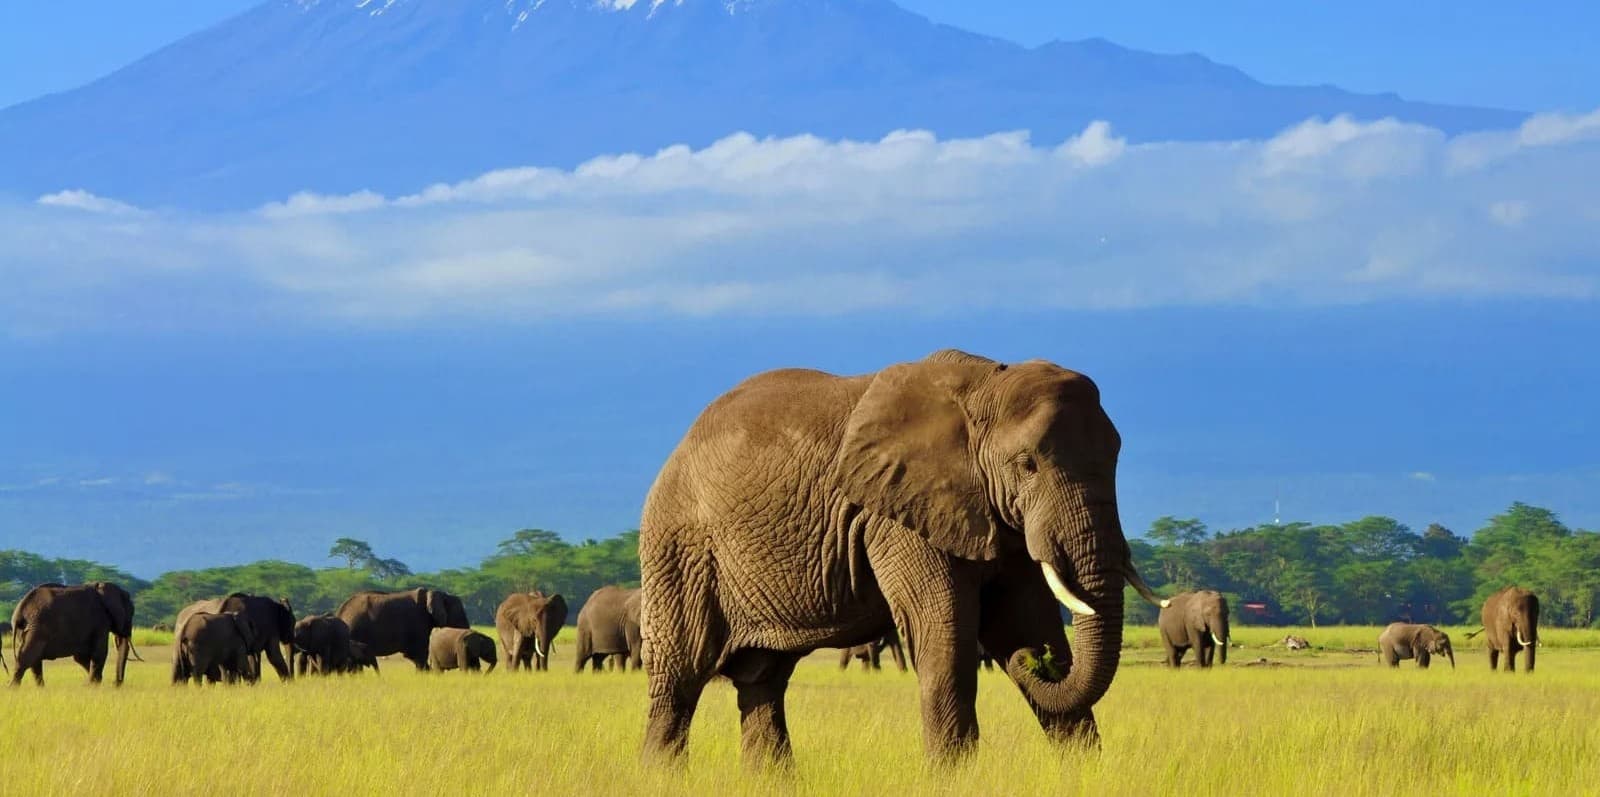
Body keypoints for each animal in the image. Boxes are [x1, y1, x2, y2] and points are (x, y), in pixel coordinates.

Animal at [637, 350, 1166, 765]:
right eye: (1028, 465)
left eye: (1115, 459)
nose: (1037, 664)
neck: (984, 386)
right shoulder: (897, 514)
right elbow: (944, 635)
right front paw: (955, 778)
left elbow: (1024, 619)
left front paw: (1083, 769)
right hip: (680, 548)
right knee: (679, 679)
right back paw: (661, 776)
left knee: (763, 680)